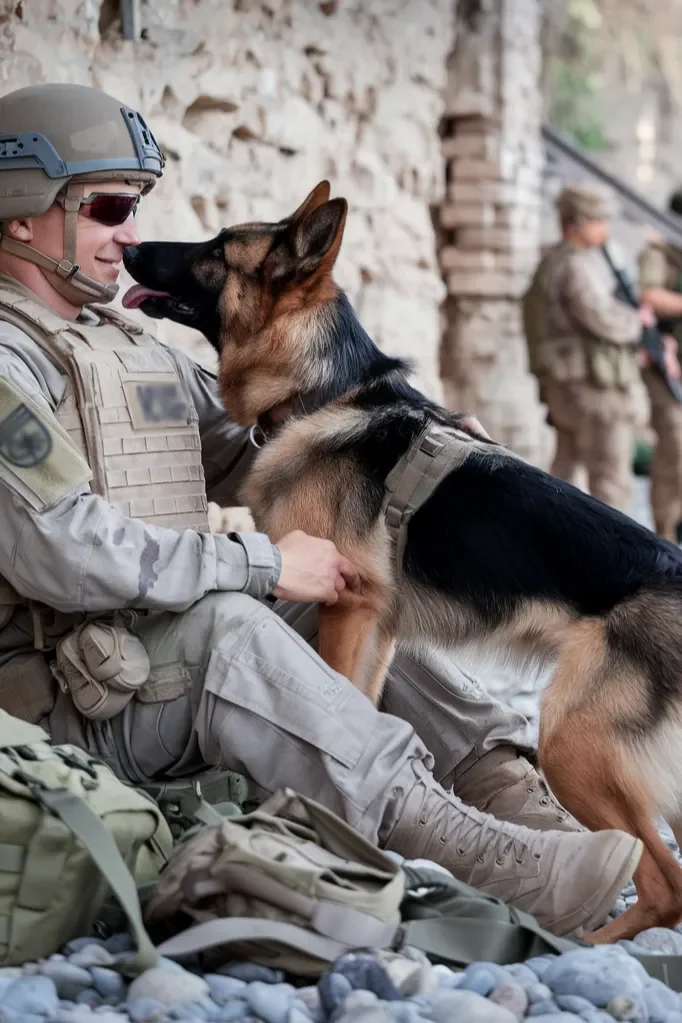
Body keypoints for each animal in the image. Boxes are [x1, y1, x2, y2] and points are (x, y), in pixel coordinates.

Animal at [121, 180, 682, 937]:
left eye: (216, 248)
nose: (126, 246)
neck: (321, 390)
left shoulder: (347, 607)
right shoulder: (377, 630)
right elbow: (358, 711)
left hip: (572, 741)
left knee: (664, 882)